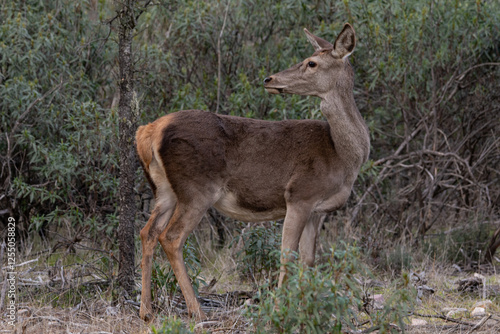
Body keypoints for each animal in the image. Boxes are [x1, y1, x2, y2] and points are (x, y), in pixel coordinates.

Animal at [135, 23, 370, 320]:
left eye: (311, 62)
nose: (269, 79)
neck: (341, 156)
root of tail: (149, 131)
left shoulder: (318, 210)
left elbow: (308, 260)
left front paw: (304, 309)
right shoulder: (299, 195)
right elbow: (287, 255)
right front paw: (280, 311)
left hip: (164, 189)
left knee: (148, 232)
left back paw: (146, 310)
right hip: (197, 189)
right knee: (171, 237)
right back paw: (196, 310)